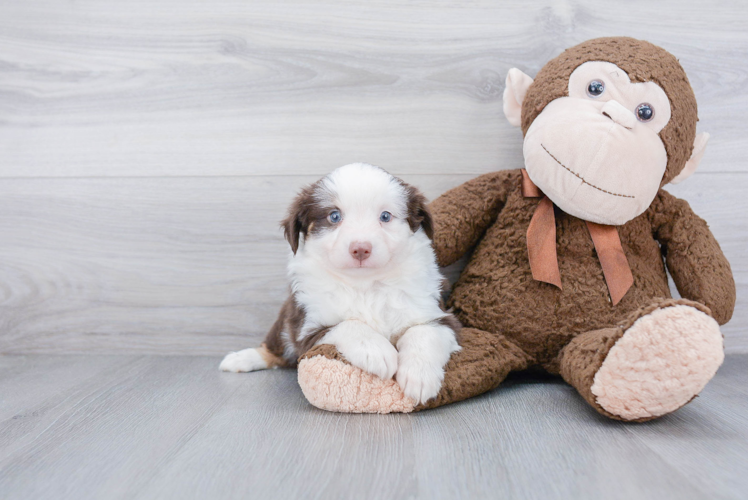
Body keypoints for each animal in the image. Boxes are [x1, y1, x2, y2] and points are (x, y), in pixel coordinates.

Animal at [219, 164, 458, 406]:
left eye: (385, 216)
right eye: (334, 216)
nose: (360, 248)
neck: (365, 286)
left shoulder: (437, 314)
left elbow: (423, 332)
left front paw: (420, 377)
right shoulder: (307, 327)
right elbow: (348, 324)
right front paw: (377, 351)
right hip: (287, 318)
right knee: (274, 346)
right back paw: (241, 358)